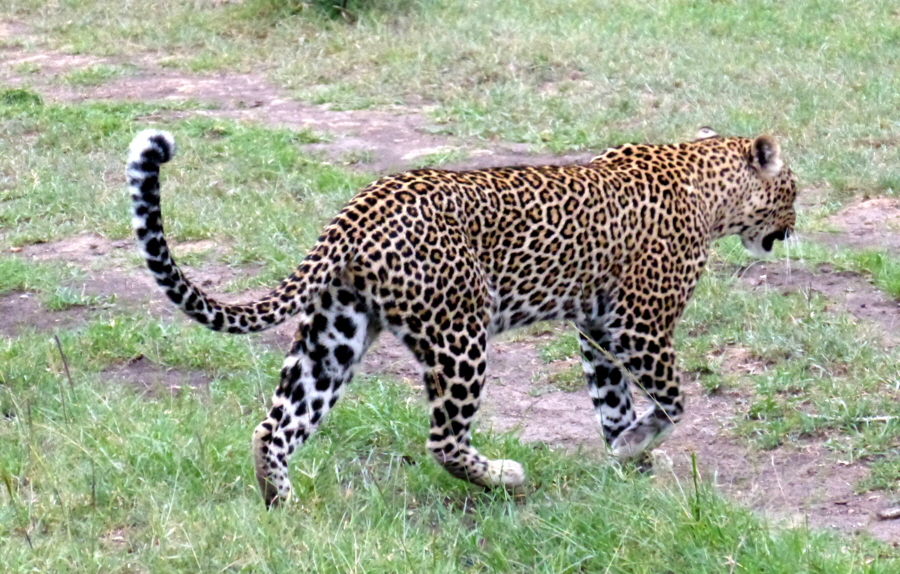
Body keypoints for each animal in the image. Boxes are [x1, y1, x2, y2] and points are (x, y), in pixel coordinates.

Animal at [126, 127, 796, 508]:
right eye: (793, 188)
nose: (794, 227)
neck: (709, 185)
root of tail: (355, 211)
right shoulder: (640, 324)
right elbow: (673, 402)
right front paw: (634, 448)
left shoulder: (596, 328)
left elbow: (613, 401)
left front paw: (630, 463)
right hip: (460, 334)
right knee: (443, 440)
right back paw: (505, 477)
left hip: (333, 336)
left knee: (276, 426)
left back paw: (285, 508)